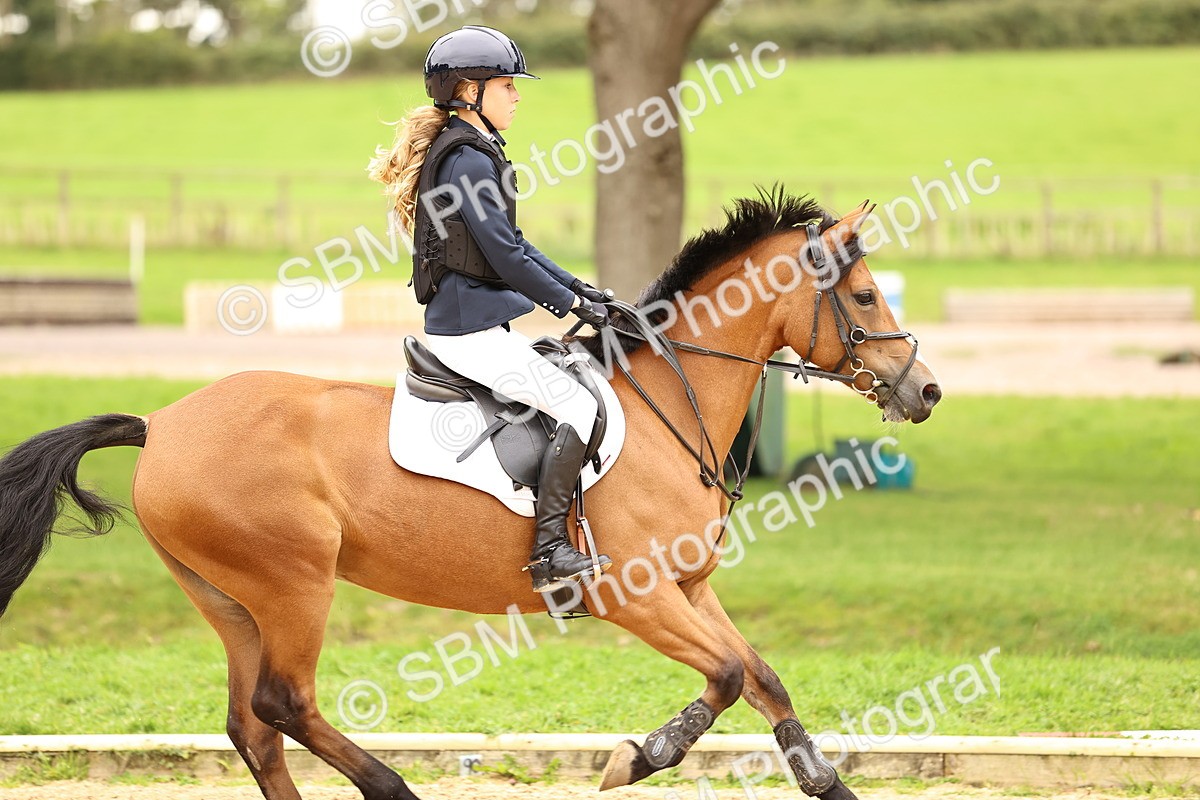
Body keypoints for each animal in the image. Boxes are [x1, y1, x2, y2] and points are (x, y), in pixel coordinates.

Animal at [0, 189, 940, 800]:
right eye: (864, 295)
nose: (925, 390)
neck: (667, 405)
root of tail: (162, 422)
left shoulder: (689, 587)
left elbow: (762, 676)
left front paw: (825, 781)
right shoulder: (637, 596)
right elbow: (728, 674)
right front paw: (636, 757)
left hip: (229, 598)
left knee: (253, 728)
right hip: (293, 582)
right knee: (282, 703)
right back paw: (392, 787)